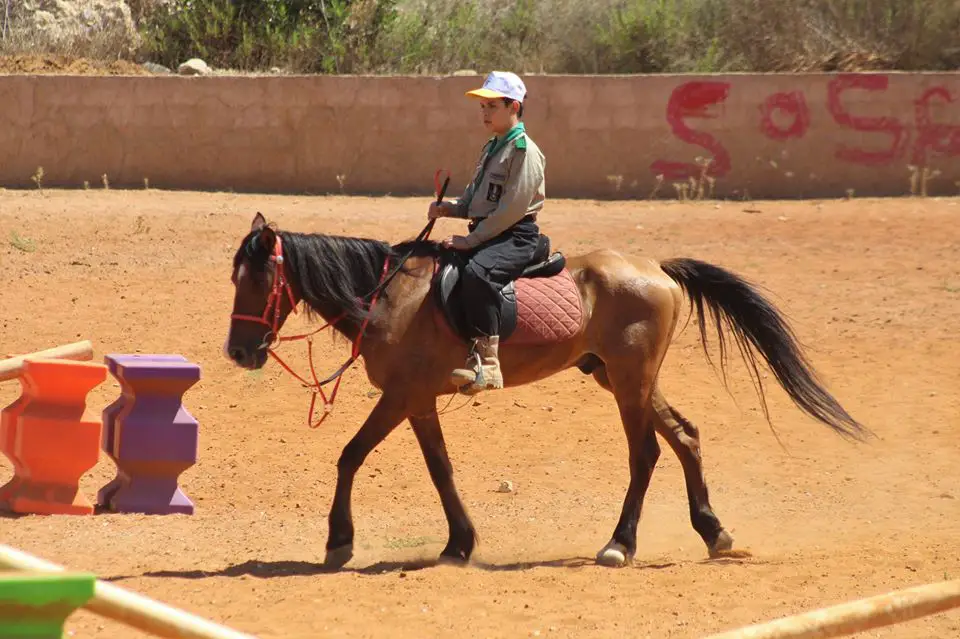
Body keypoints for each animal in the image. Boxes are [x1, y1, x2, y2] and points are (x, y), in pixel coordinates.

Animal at [227, 214, 872, 568]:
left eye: (260, 279)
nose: (238, 352)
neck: (390, 297)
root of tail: (657, 270)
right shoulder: (419, 401)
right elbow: (440, 469)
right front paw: (459, 543)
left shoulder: (402, 396)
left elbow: (351, 456)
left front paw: (340, 541)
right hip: (624, 376)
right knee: (685, 437)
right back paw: (714, 533)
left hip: (630, 381)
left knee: (646, 453)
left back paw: (620, 544)